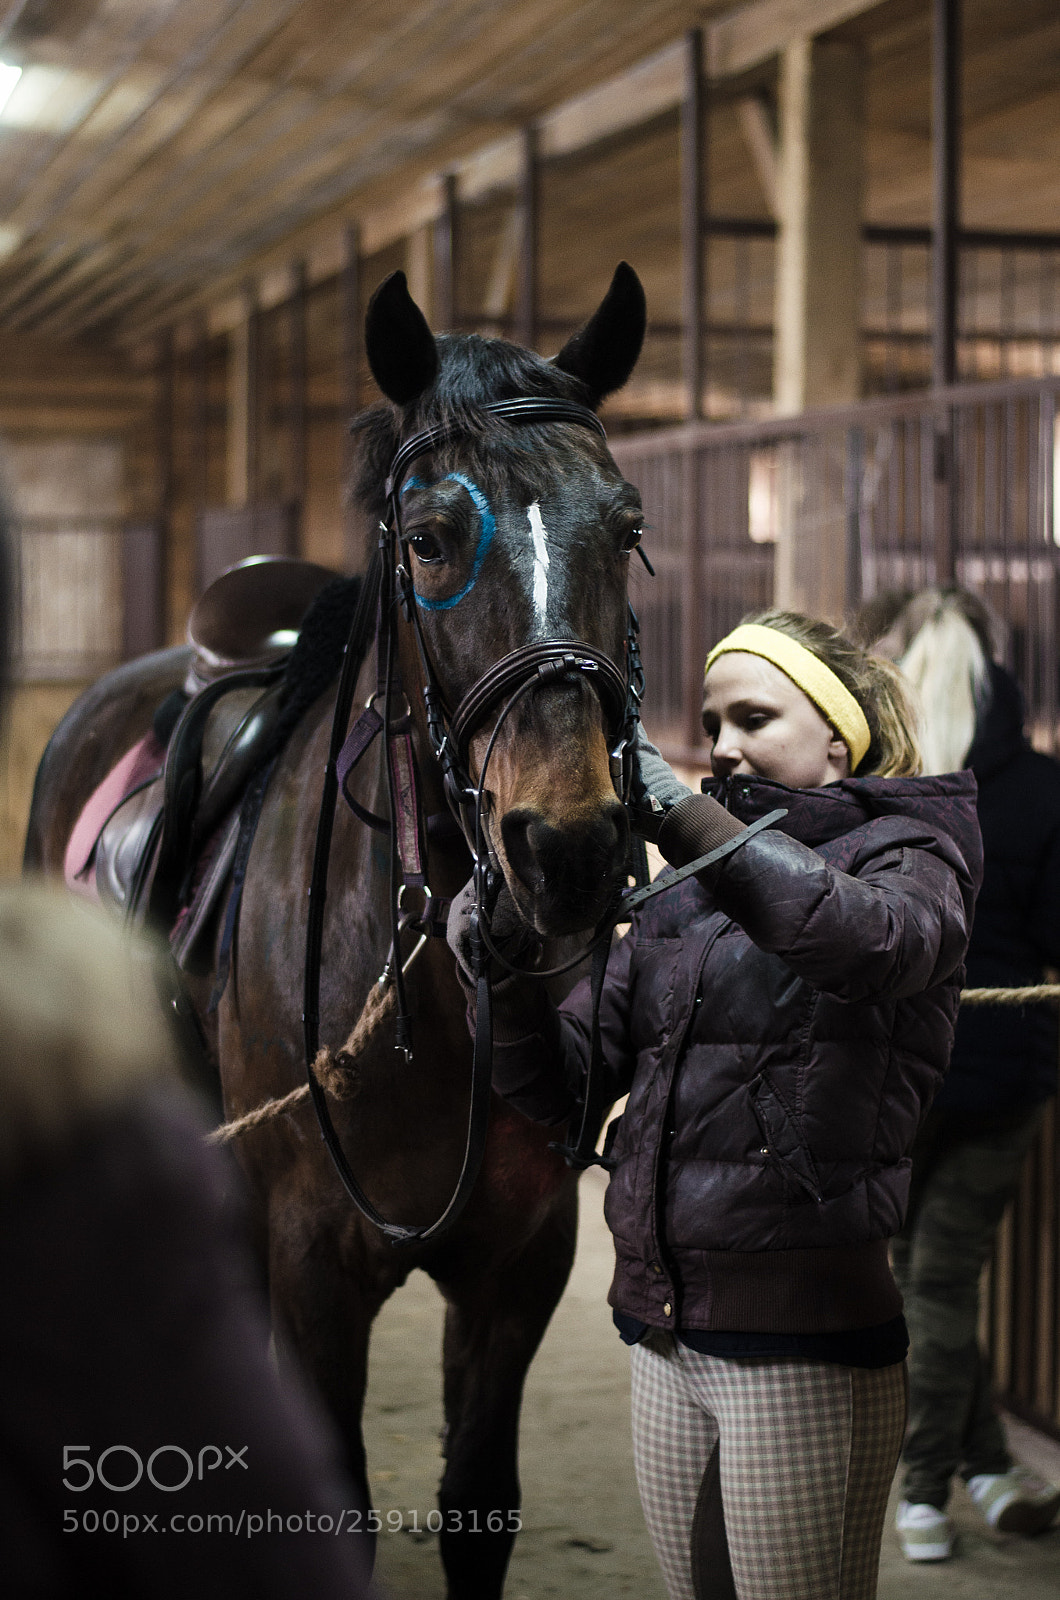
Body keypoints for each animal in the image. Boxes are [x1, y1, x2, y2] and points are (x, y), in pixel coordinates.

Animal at [24, 261, 649, 1598]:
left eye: (626, 528)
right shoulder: (316, 1258)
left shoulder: (518, 1263)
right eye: (426, 541)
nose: (566, 846)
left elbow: (476, 1502)